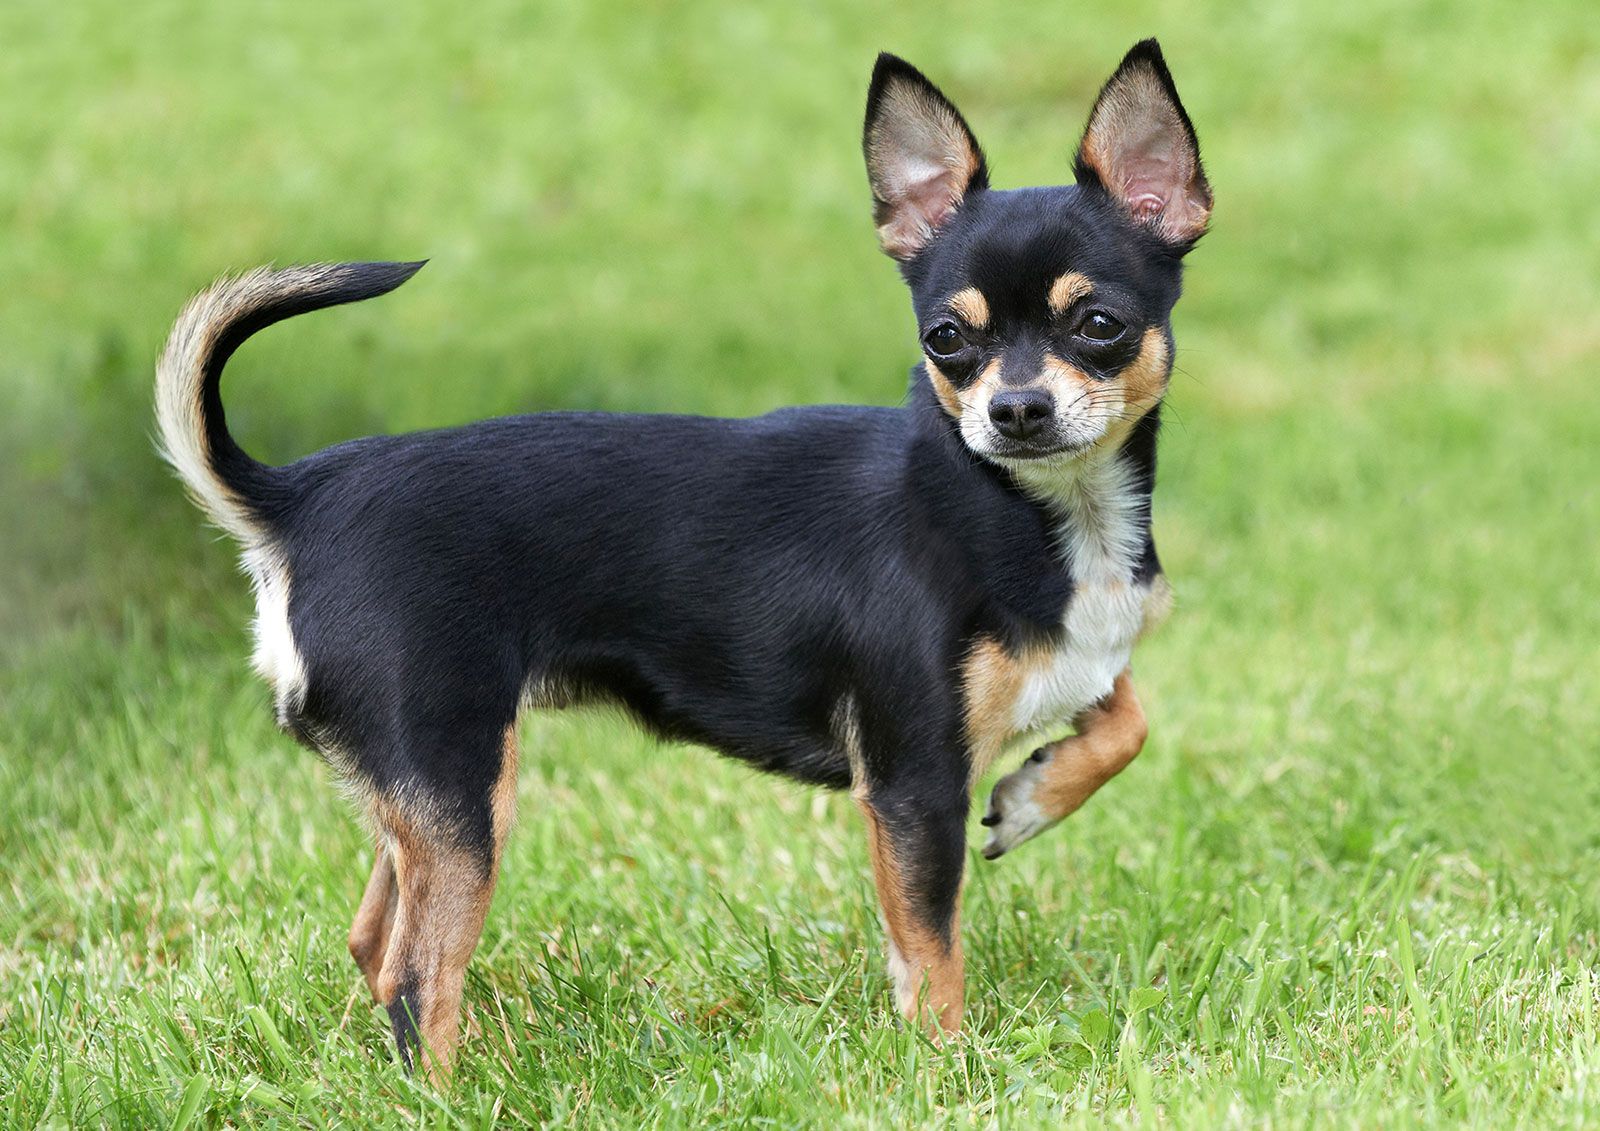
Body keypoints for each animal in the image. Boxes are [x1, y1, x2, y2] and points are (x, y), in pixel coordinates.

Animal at [159, 41, 1209, 1081]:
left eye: (1100, 325)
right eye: (946, 339)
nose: (1015, 409)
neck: (1033, 511)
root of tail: (297, 497)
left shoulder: (1073, 663)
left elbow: (1128, 715)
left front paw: (1032, 797)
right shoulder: (912, 781)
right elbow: (932, 948)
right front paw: (946, 1066)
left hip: (424, 790)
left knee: (376, 944)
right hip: (461, 789)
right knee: (417, 973)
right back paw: (465, 1092)